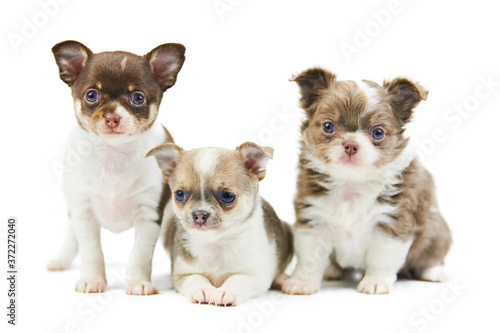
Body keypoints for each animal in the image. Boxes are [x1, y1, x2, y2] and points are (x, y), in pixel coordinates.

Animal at [47, 40, 186, 294]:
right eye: (91, 95)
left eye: (138, 98)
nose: (112, 117)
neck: (113, 155)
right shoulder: (84, 213)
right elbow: (91, 251)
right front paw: (92, 280)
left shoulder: (149, 216)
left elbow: (140, 254)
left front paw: (138, 282)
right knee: (72, 236)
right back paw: (61, 260)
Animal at [146, 141, 292, 304]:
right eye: (179, 194)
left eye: (227, 196)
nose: (199, 214)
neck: (215, 243)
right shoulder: (182, 275)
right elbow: (196, 278)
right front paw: (203, 289)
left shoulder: (256, 276)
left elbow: (238, 278)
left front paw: (226, 291)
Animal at [282, 67, 454, 294]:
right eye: (328, 127)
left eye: (378, 132)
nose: (351, 145)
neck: (350, 183)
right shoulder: (313, 220)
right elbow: (310, 257)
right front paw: (302, 282)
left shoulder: (392, 223)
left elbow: (381, 258)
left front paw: (375, 281)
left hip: (437, 230)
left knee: (432, 253)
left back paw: (434, 271)